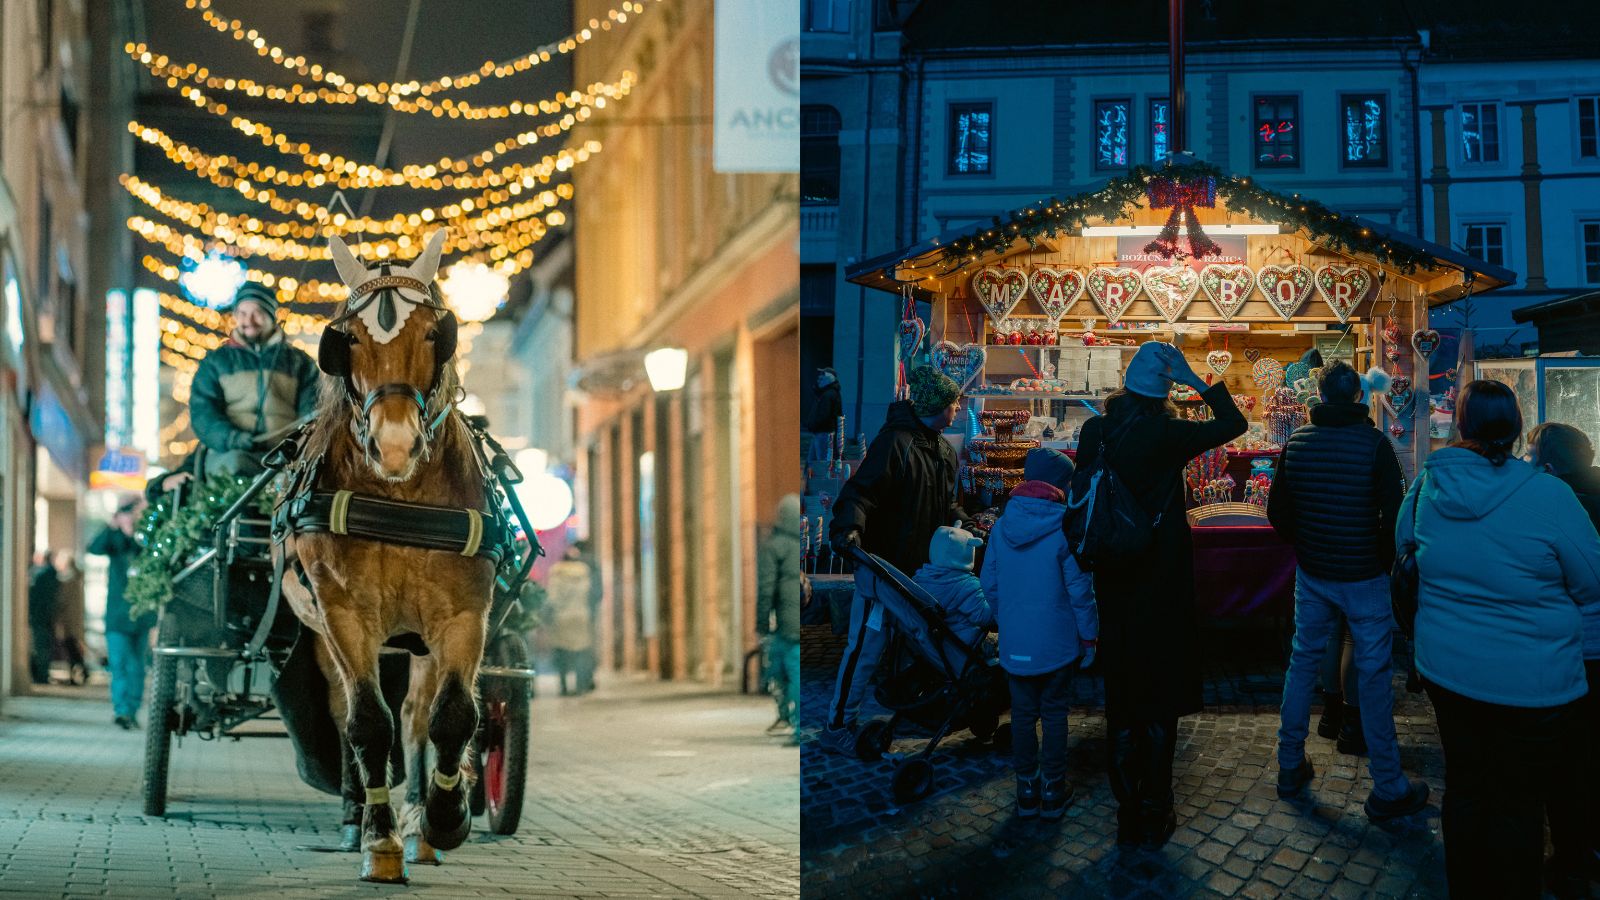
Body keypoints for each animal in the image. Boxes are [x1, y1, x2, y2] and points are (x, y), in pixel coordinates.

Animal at [272, 227, 499, 877]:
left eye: (433, 333)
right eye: (345, 339)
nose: (394, 444)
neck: (400, 496)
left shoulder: (463, 614)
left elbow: (452, 716)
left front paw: (446, 817)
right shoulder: (345, 614)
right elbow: (366, 722)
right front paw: (379, 838)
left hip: (415, 640)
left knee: (417, 716)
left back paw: (420, 813)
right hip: (328, 634)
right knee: (346, 708)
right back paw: (357, 815)